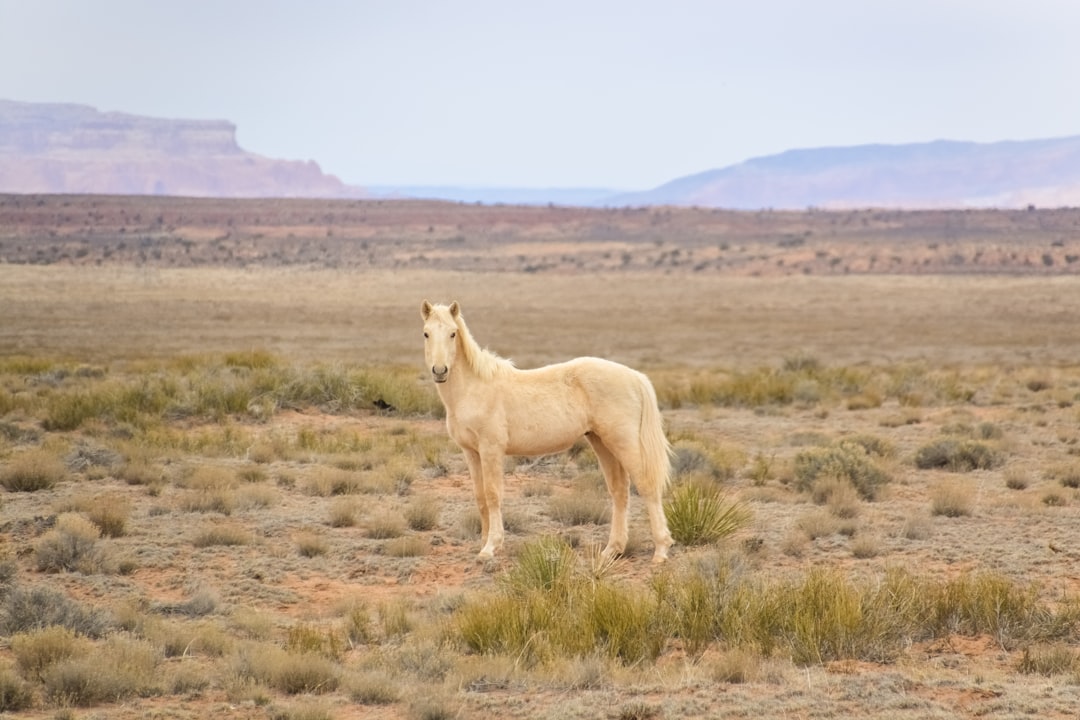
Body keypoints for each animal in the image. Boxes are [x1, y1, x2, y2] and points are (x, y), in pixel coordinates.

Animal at [416, 297, 669, 561]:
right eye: (426, 333)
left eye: (453, 333)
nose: (440, 371)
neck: (474, 388)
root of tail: (634, 376)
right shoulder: (471, 452)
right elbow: (480, 496)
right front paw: (483, 543)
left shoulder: (491, 450)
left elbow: (493, 494)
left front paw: (491, 547)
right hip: (602, 443)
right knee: (619, 491)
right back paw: (611, 550)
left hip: (624, 443)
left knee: (648, 485)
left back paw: (660, 551)